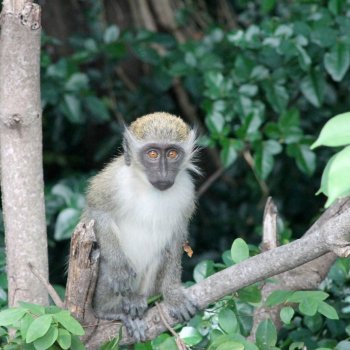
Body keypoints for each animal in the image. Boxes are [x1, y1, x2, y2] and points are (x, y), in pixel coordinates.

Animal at [82, 113, 200, 342]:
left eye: (172, 153)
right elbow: (98, 213)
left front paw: (173, 296)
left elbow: (176, 242)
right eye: (152, 153)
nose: (163, 173)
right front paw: (119, 270)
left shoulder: (188, 192)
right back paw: (111, 309)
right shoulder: (114, 180)